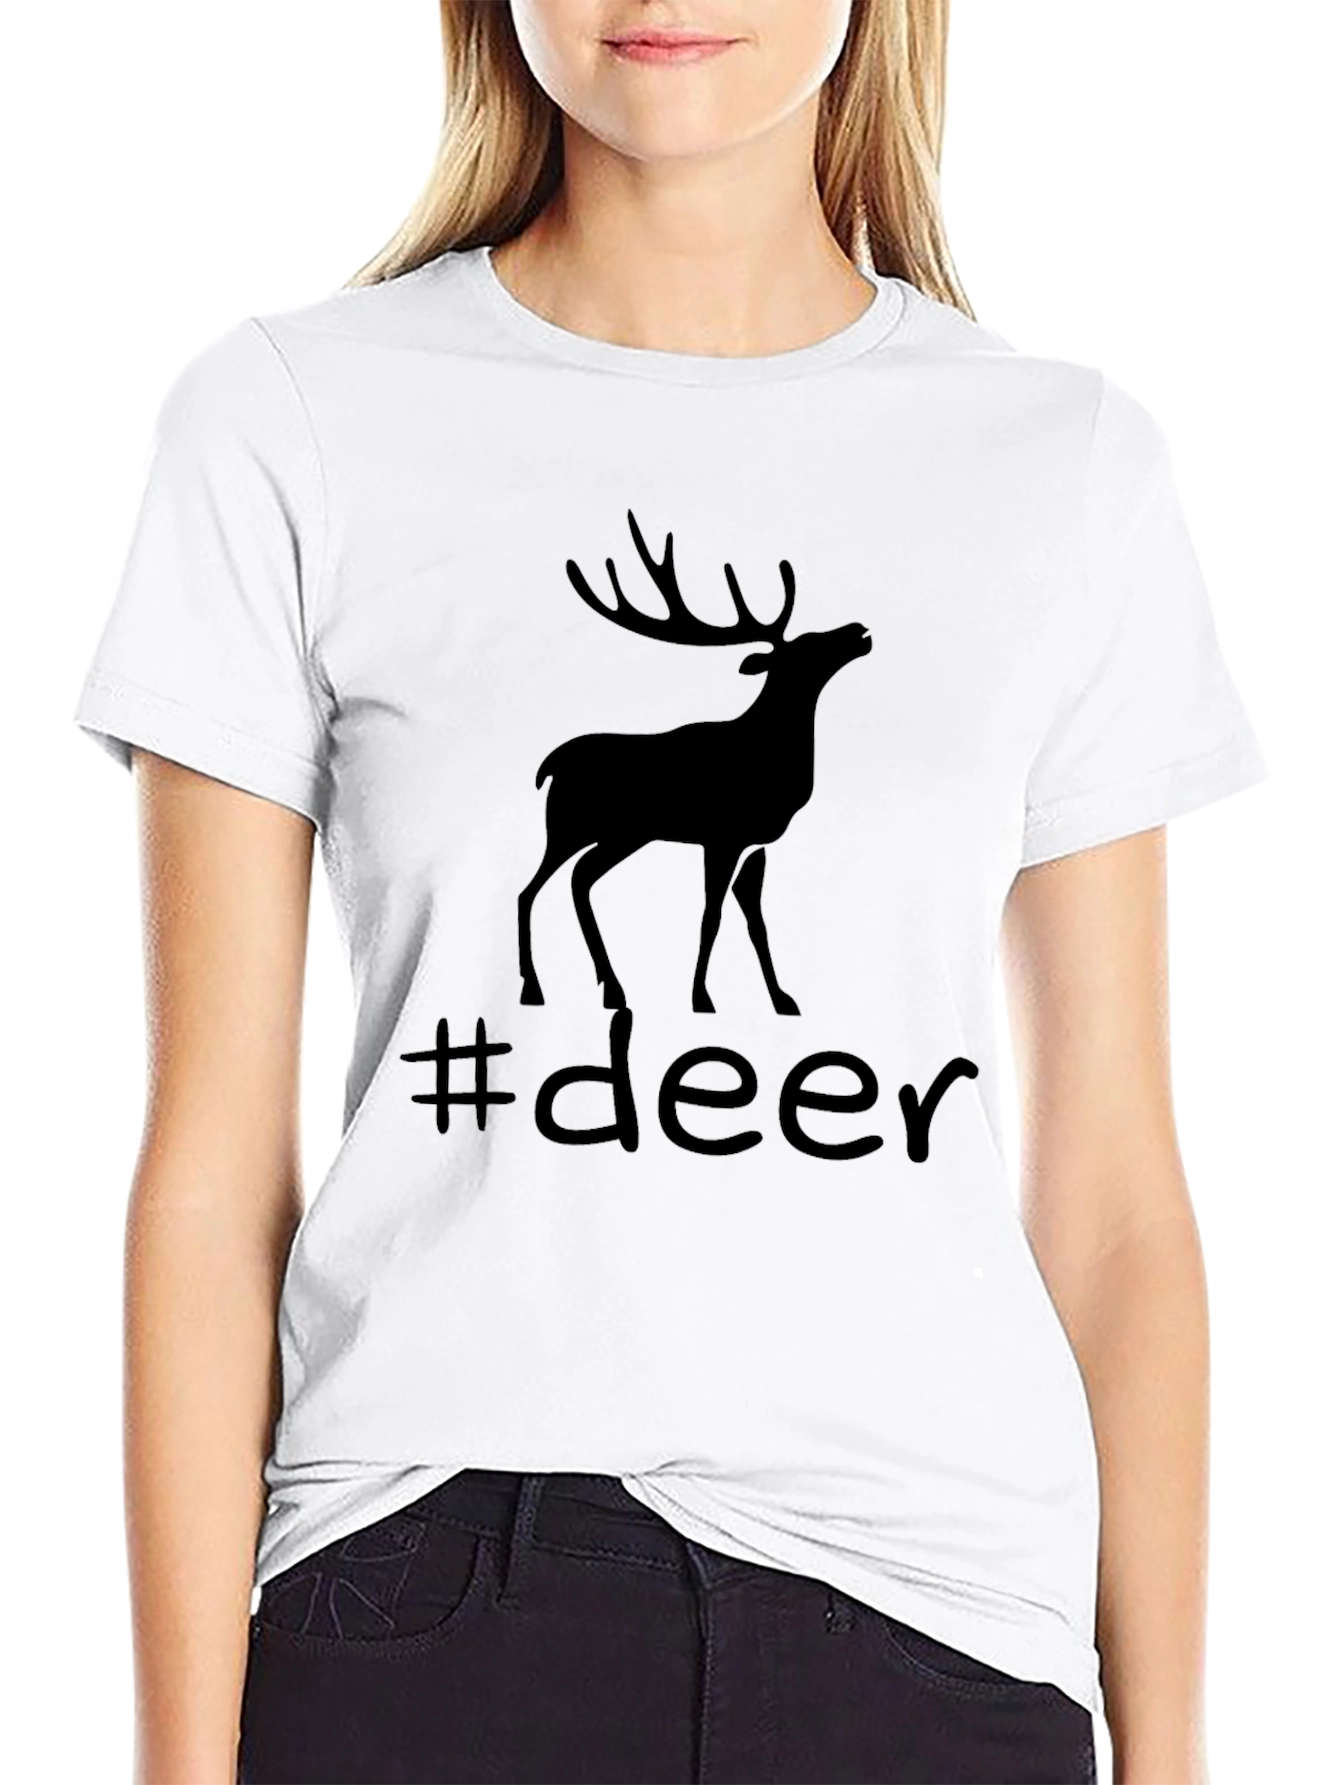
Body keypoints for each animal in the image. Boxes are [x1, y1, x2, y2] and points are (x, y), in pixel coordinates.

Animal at [517, 509, 872, 1016]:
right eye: (807, 646)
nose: (858, 629)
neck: (775, 756)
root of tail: (548, 767)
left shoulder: (756, 844)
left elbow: (756, 922)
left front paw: (781, 998)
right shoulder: (720, 837)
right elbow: (711, 915)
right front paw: (701, 997)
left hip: (625, 834)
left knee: (579, 879)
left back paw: (611, 988)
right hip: (570, 825)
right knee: (531, 889)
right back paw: (536, 986)